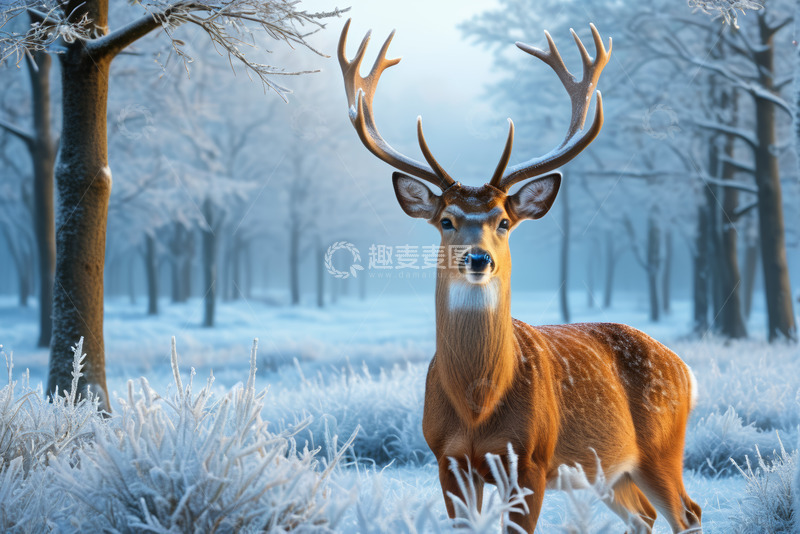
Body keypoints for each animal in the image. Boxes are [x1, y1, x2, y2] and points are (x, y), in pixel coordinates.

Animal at [337, 19, 702, 533]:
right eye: (446, 220)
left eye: (504, 221)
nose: (478, 259)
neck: (477, 407)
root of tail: (684, 369)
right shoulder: (447, 459)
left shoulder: (530, 460)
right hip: (611, 469)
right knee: (645, 515)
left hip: (661, 448)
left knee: (688, 511)